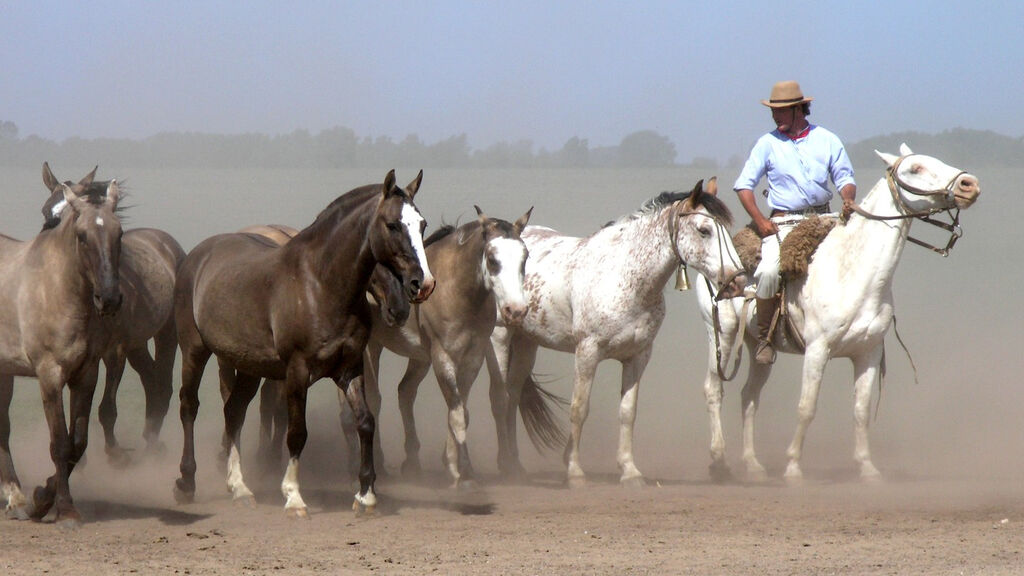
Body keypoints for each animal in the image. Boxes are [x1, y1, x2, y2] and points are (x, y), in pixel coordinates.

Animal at [0, 167, 123, 524]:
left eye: (119, 234)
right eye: (82, 236)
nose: (109, 299)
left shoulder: (86, 374)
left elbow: (77, 443)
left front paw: (42, 497)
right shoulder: (50, 375)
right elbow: (59, 444)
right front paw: (64, 510)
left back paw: (16, 498)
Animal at [39, 162, 185, 461]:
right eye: (47, 212)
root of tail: (167, 243)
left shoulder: (113, 351)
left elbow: (106, 408)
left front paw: (115, 452)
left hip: (166, 333)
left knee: (163, 384)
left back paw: (153, 443)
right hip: (137, 343)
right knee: (151, 379)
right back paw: (149, 435)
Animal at [175, 168, 432, 512]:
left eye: (422, 224)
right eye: (392, 224)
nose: (423, 284)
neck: (320, 285)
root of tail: (199, 255)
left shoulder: (350, 368)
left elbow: (365, 422)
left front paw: (365, 495)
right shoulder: (296, 371)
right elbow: (296, 432)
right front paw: (294, 496)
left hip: (248, 366)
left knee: (234, 411)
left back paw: (239, 487)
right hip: (194, 349)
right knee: (189, 406)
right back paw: (186, 482)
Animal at [487, 179, 745, 483]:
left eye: (725, 230)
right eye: (704, 230)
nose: (738, 281)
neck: (623, 276)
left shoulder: (638, 356)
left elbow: (627, 412)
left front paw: (629, 470)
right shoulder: (587, 352)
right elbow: (579, 408)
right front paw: (574, 470)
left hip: (527, 343)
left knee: (513, 395)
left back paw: (515, 466)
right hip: (500, 337)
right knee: (500, 398)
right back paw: (504, 465)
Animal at [700, 143, 978, 479]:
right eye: (915, 168)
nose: (970, 185)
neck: (853, 273)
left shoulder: (868, 353)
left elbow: (860, 410)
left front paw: (867, 468)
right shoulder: (817, 350)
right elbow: (807, 407)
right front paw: (793, 467)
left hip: (756, 348)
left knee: (749, 396)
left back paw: (753, 464)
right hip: (723, 335)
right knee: (714, 389)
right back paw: (718, 460)